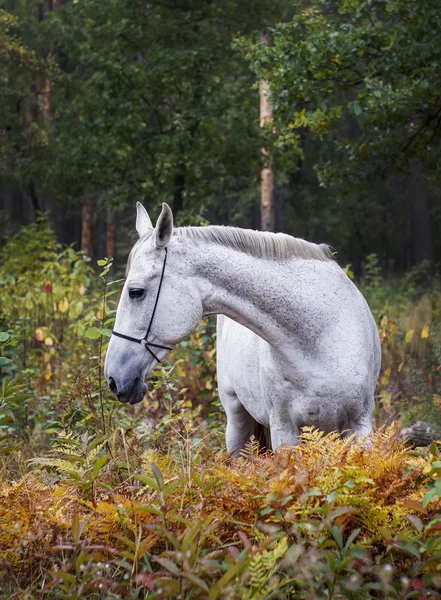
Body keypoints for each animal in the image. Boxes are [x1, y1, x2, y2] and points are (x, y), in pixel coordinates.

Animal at [105, 203, 380, 454]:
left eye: (136, 292)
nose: (113, 379)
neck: (319, 337)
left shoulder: (360, 427)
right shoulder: (284, 430)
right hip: (236, 421)